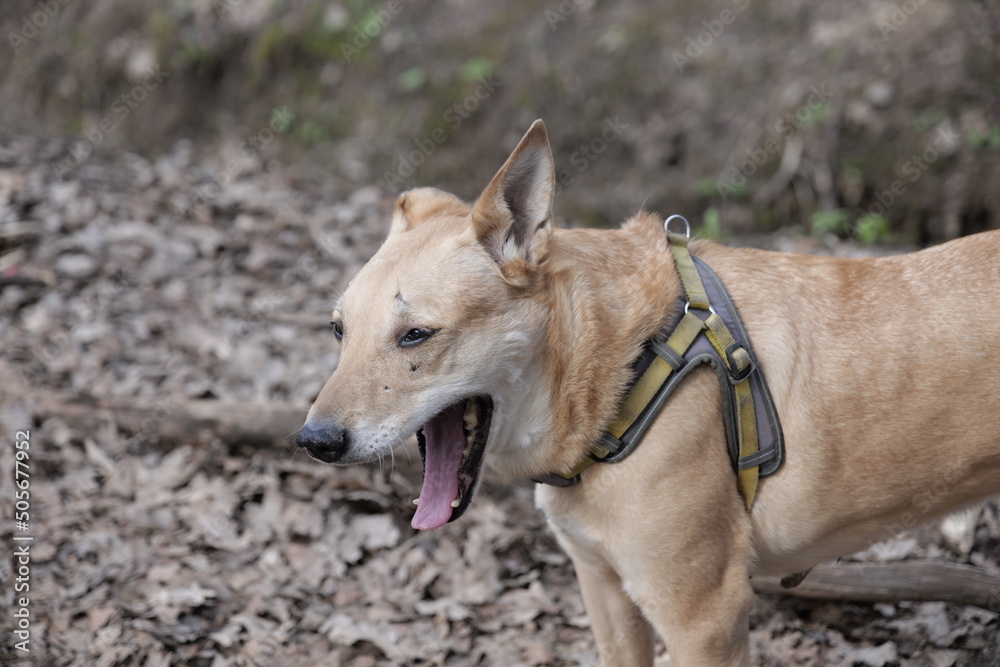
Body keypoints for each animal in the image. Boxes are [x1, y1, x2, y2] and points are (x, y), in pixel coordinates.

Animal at [296, 121, 1000, 667]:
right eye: (338, 331)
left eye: (415, 334)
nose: (314, 441)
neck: (625, 371)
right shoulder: (604, 591)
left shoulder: (705, 617)